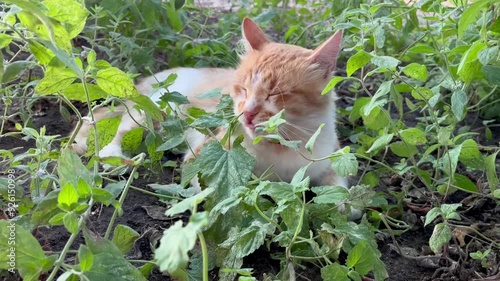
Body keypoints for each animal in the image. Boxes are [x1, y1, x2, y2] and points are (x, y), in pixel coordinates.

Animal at [73, 17, 348, 190]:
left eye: (275, 94)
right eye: (244, 89)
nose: (247, 114)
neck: (284, 146)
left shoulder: (333, 161)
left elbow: (344, 199)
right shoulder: (201, 159)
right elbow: (232, 190)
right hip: (152, 114)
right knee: (101, 130)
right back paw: (115, 159)